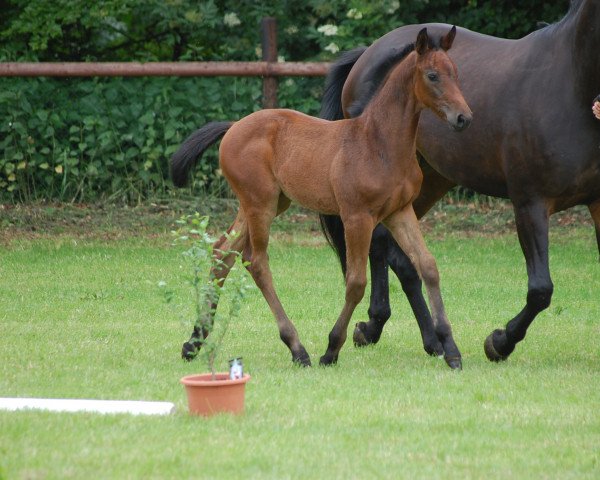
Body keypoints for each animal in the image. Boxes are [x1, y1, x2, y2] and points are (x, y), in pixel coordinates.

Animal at [318, 0, 600, 364]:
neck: (571, 85)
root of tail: (367, 54)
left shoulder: (598, 204)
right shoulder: (530, 203)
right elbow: (540, 290)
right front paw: (499, 342)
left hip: (428, 183)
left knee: (399, 254)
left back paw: (418, 337)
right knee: (382, 246)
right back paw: (386, 329)